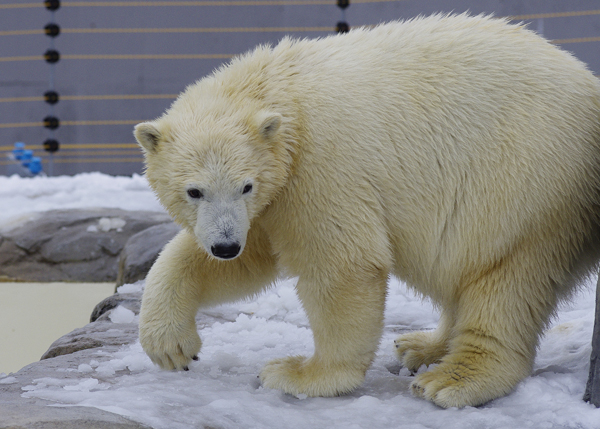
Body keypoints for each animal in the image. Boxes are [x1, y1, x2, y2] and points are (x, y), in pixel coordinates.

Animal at [135, 14, 600, 408]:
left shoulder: (321, 167)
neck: (284, 95)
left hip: (523, 186)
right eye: (194, 191)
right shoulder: (273, 196)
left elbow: (343, 266)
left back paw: (451, 378)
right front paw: (171, 346)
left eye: (245, 185)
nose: (225, 245)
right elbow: (250, 256)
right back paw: (421, 346)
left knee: (505, 278)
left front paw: (300, 373)